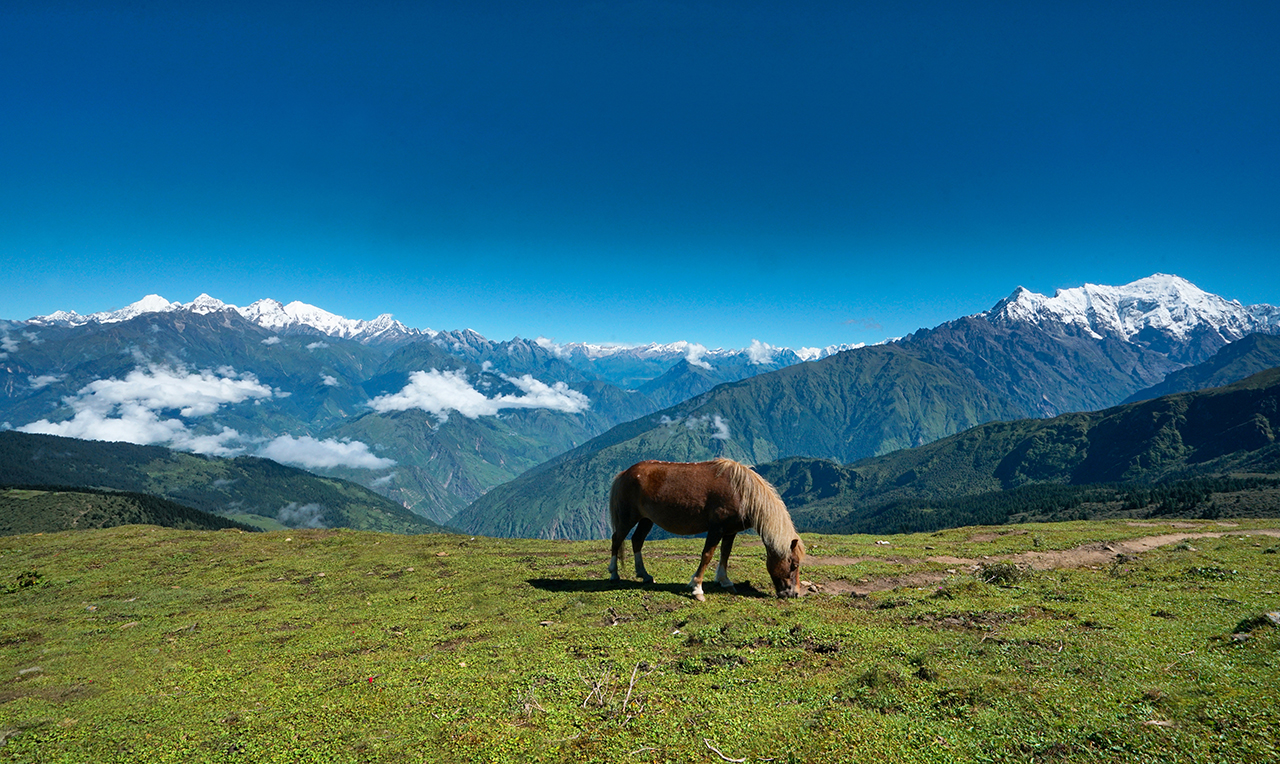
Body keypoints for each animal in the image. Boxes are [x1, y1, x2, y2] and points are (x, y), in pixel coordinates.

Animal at [606, 455, 798, 598]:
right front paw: (697, 588)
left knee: (637, 540)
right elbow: (707, 555)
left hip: (646, 520)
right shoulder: (716, 529)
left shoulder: (730, 531)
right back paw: (614, 573)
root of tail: (625, 473)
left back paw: (644, 575)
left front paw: (725, 581)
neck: (740, 492)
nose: (794, 594)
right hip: (628, 518)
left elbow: (725, 554)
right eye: (794, 565)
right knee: (617, 539)